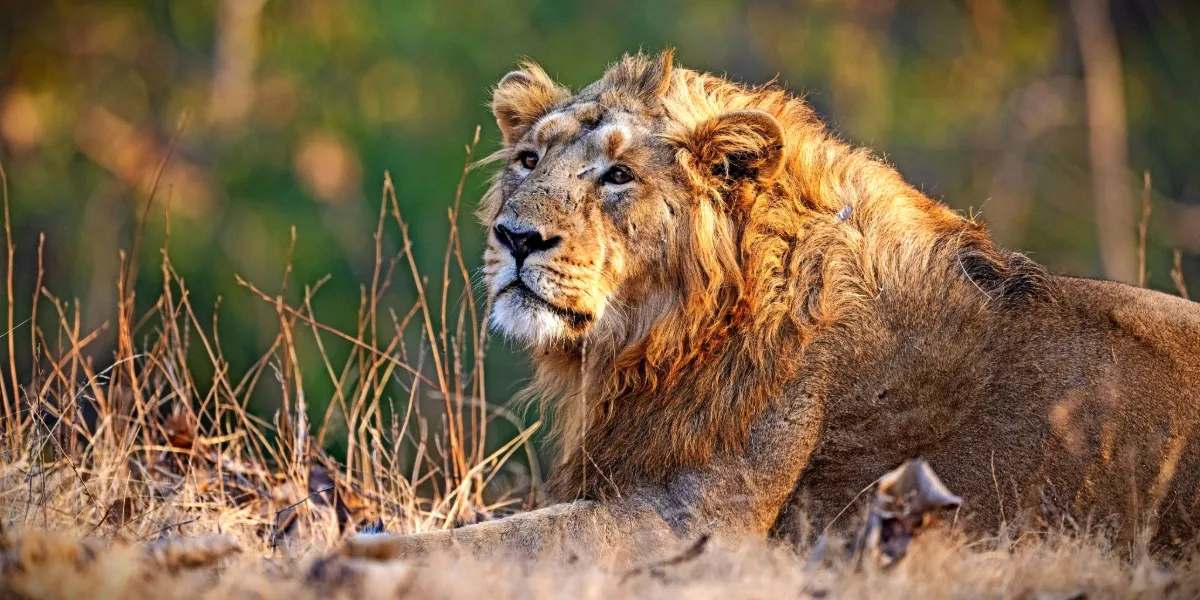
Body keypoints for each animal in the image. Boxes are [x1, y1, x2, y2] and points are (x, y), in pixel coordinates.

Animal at [344, 50, 1200, 563]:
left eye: (618, 176)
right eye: (527, 160)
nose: (516, 237)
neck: (657, 340)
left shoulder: (696, 527)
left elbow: (492, 545)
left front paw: (360, 552)